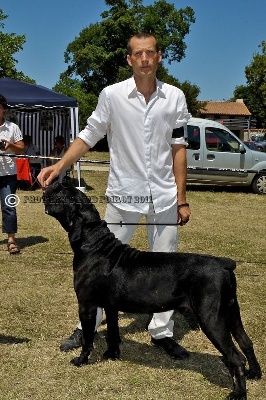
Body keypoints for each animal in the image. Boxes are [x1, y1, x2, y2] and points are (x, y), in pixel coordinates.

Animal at [43, 183, 262, 398]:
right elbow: (112, 333)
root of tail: (223, 263)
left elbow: (88, 338)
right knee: (246, 343)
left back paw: (239, 393)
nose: (49, 185)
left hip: (212, 319)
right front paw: (112, 355)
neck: (94, 242)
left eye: (61, 192)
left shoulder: (87, 305)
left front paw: (81, 360)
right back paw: (255, 373)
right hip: (231, 313)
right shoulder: (111, 306)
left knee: (236, 357)